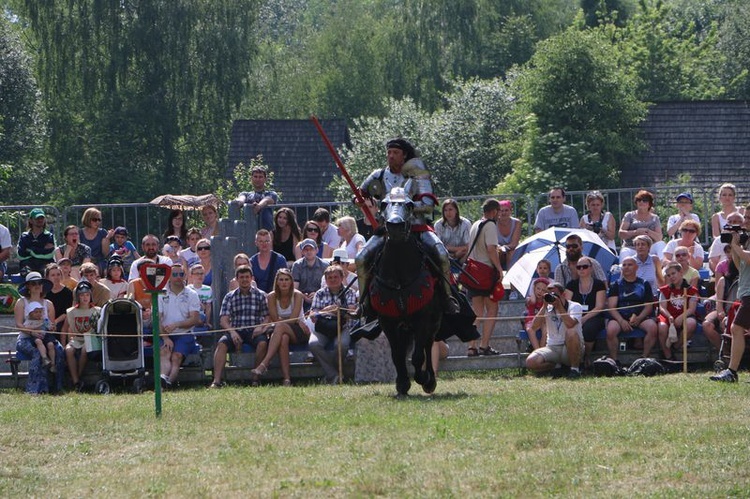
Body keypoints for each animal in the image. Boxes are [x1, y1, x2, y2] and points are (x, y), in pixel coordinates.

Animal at [368, 186, 444, 396]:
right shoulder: (388, 322)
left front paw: (422, 378)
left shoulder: (422, 319)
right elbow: (397, 354)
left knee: (428, 345)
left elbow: (418, 355)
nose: (394, 226)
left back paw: (429, 380)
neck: (399, 276)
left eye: (409, 205)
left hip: (433, 322)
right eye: (383, 204)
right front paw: (402, 383)